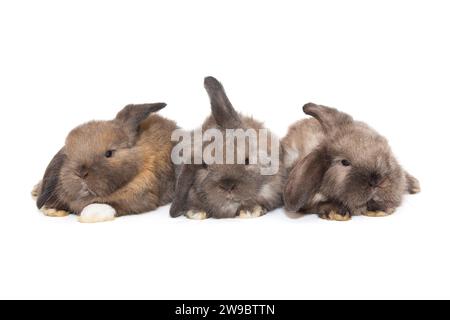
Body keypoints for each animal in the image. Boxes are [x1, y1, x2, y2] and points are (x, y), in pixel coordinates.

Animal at [35, 103, 178, 222]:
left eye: (109, 153)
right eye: (68, 155)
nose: (81, 173)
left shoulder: (143, 197)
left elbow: (112, 204)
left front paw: (91, 214)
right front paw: (52, 209)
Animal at [284, 102, 420, 220]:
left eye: (384, 147)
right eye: (344, 162)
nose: (377, 180)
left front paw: (380, 209)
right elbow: (318, 205)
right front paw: (336, 212)